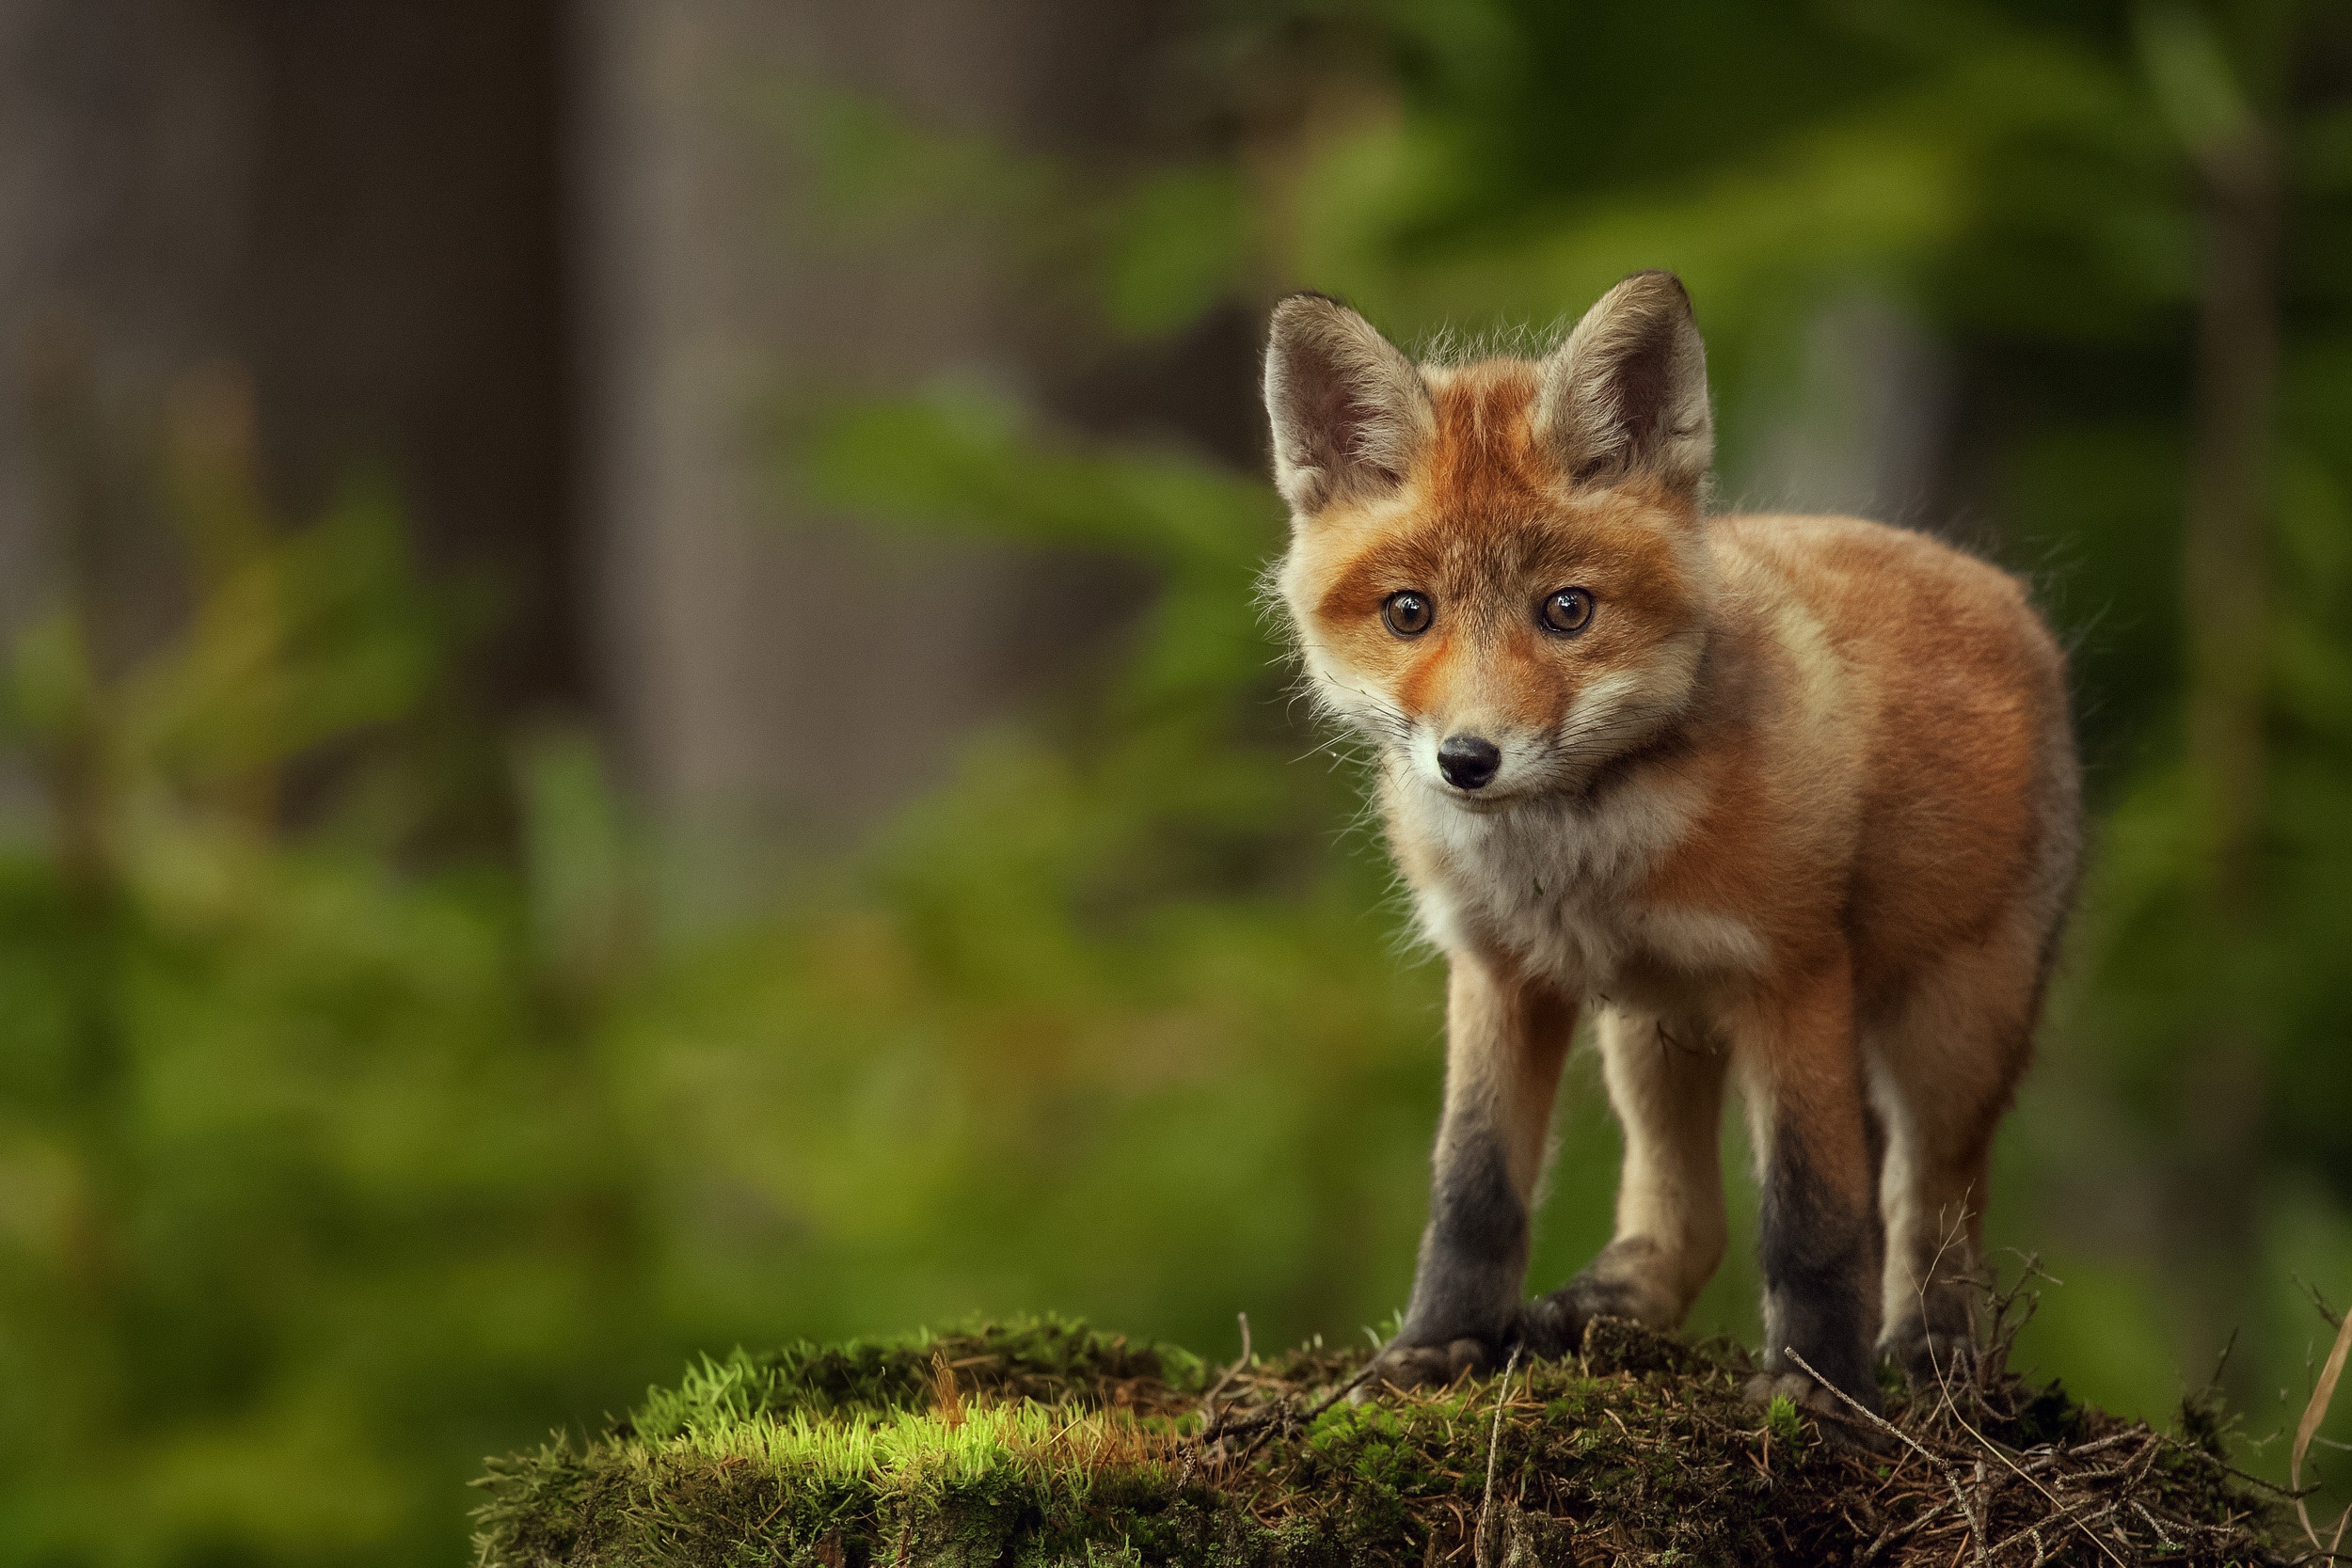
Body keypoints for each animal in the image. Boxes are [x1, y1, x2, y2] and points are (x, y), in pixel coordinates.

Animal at [1270, 270, 2079, 1410]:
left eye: (1567, 610)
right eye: (1408, 613)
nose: (1468, 759)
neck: (1575, 860)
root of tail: (2008, 595)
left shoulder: (1793, 975)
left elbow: (1813, 1218)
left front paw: (1814, 1395)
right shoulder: (1498, 970)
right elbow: (1472, 1191)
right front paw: (1435, 1345)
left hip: (1951, 1030)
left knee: (1930, 1203)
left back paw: (1929, 1350)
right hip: (1655, 1027)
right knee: (1686, 1214)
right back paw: (1605, 1304)